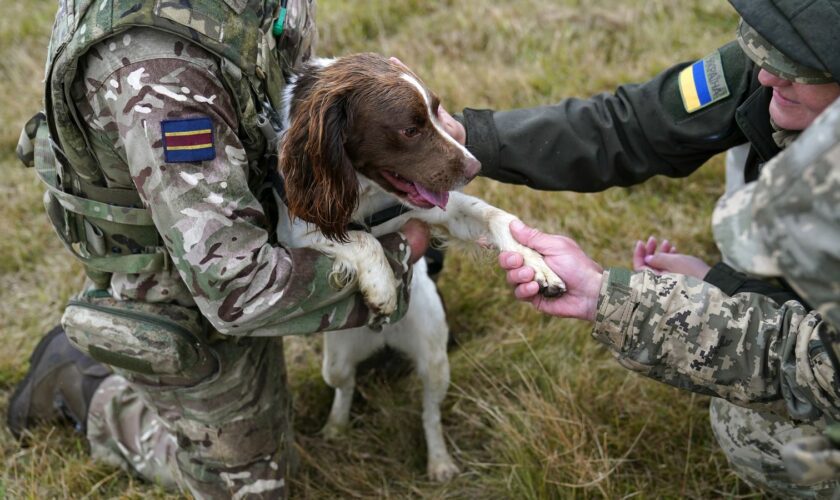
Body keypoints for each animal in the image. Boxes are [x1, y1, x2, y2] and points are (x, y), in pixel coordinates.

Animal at [276, 53, 564, 480]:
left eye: (437, 111)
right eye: (410, 129)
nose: (475, 166)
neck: (367, 195)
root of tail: (383, 340)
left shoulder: (440, 210)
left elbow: (495, 215)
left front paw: (536, 263)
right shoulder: (292, 228)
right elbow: (358, 238)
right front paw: (381, 285)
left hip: (434, 359)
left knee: (430, 414)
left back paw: (440, 461)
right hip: (336, 362)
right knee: (345, 386)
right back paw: (336, 426)